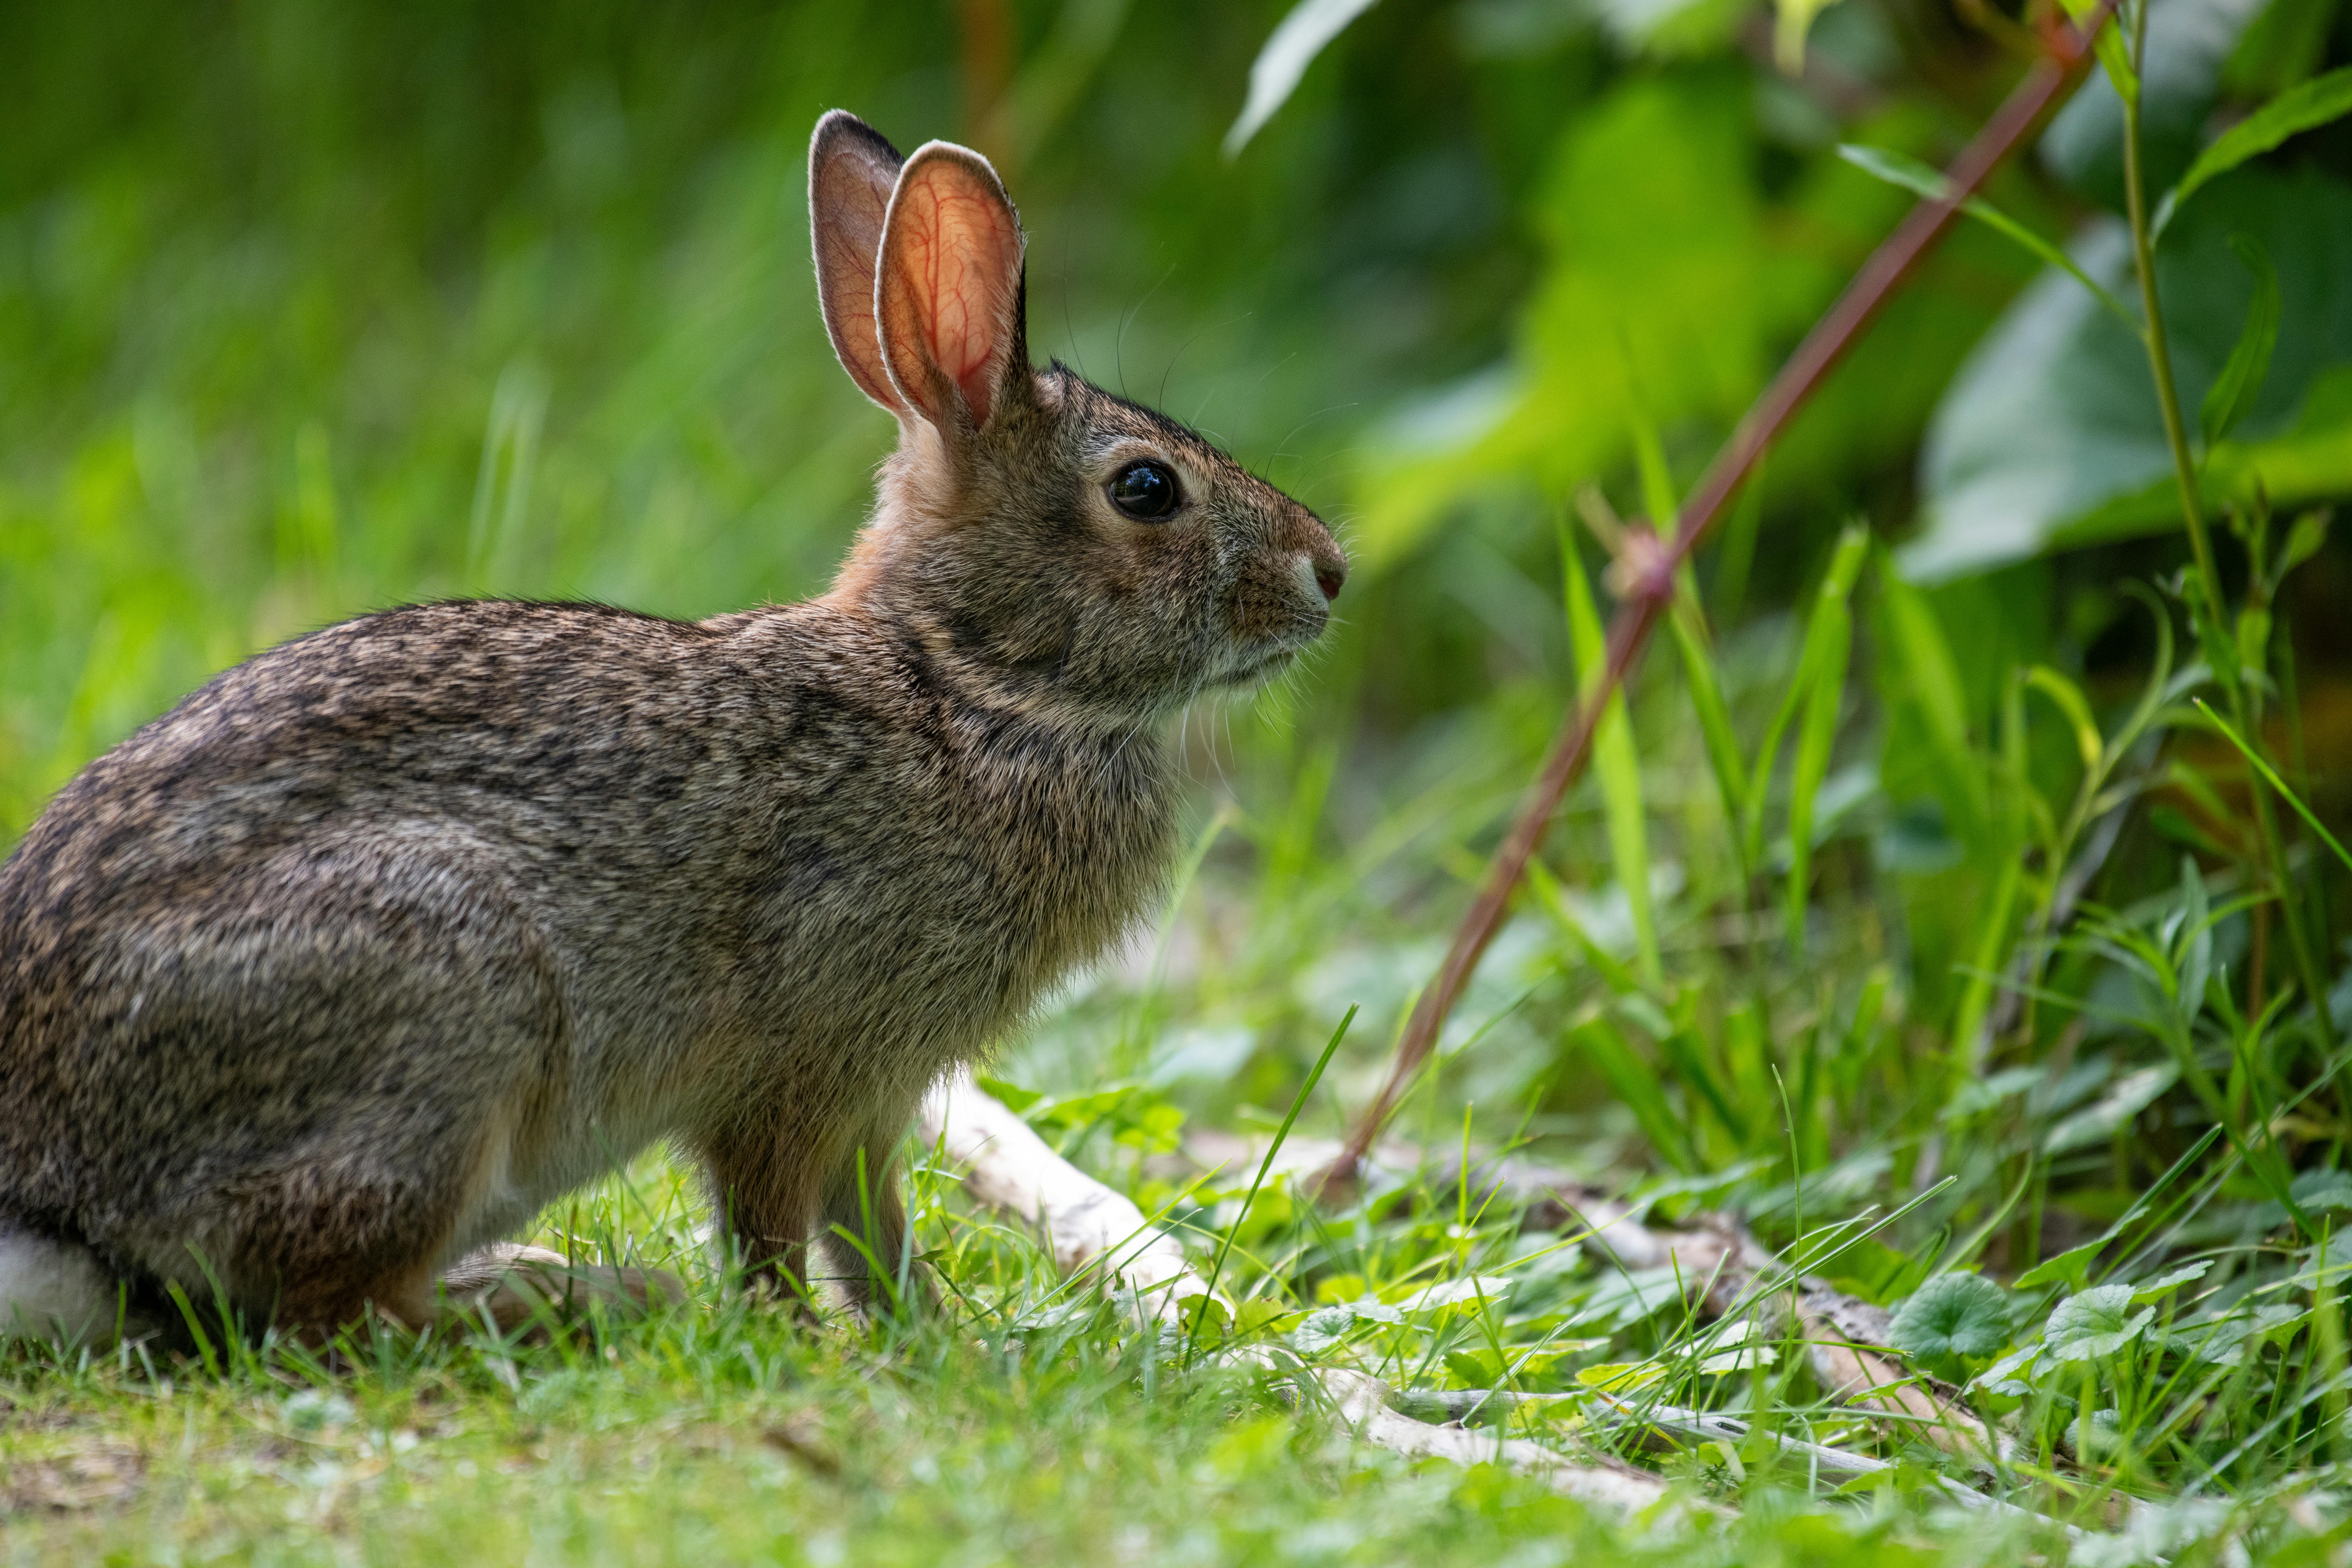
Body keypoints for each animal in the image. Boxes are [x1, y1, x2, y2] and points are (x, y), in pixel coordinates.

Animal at [0, 109, 1347, 1347]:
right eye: (1146, 489)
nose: (1329, 570)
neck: (969, 684)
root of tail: (59, 1198)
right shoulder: (794, 1067)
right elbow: (773, 1226)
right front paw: (811, 1348)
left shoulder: (874, 1096)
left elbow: (871, 1233)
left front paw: (938, 1342)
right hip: (443, 1000)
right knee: (332, 1311)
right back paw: (571, 1301)